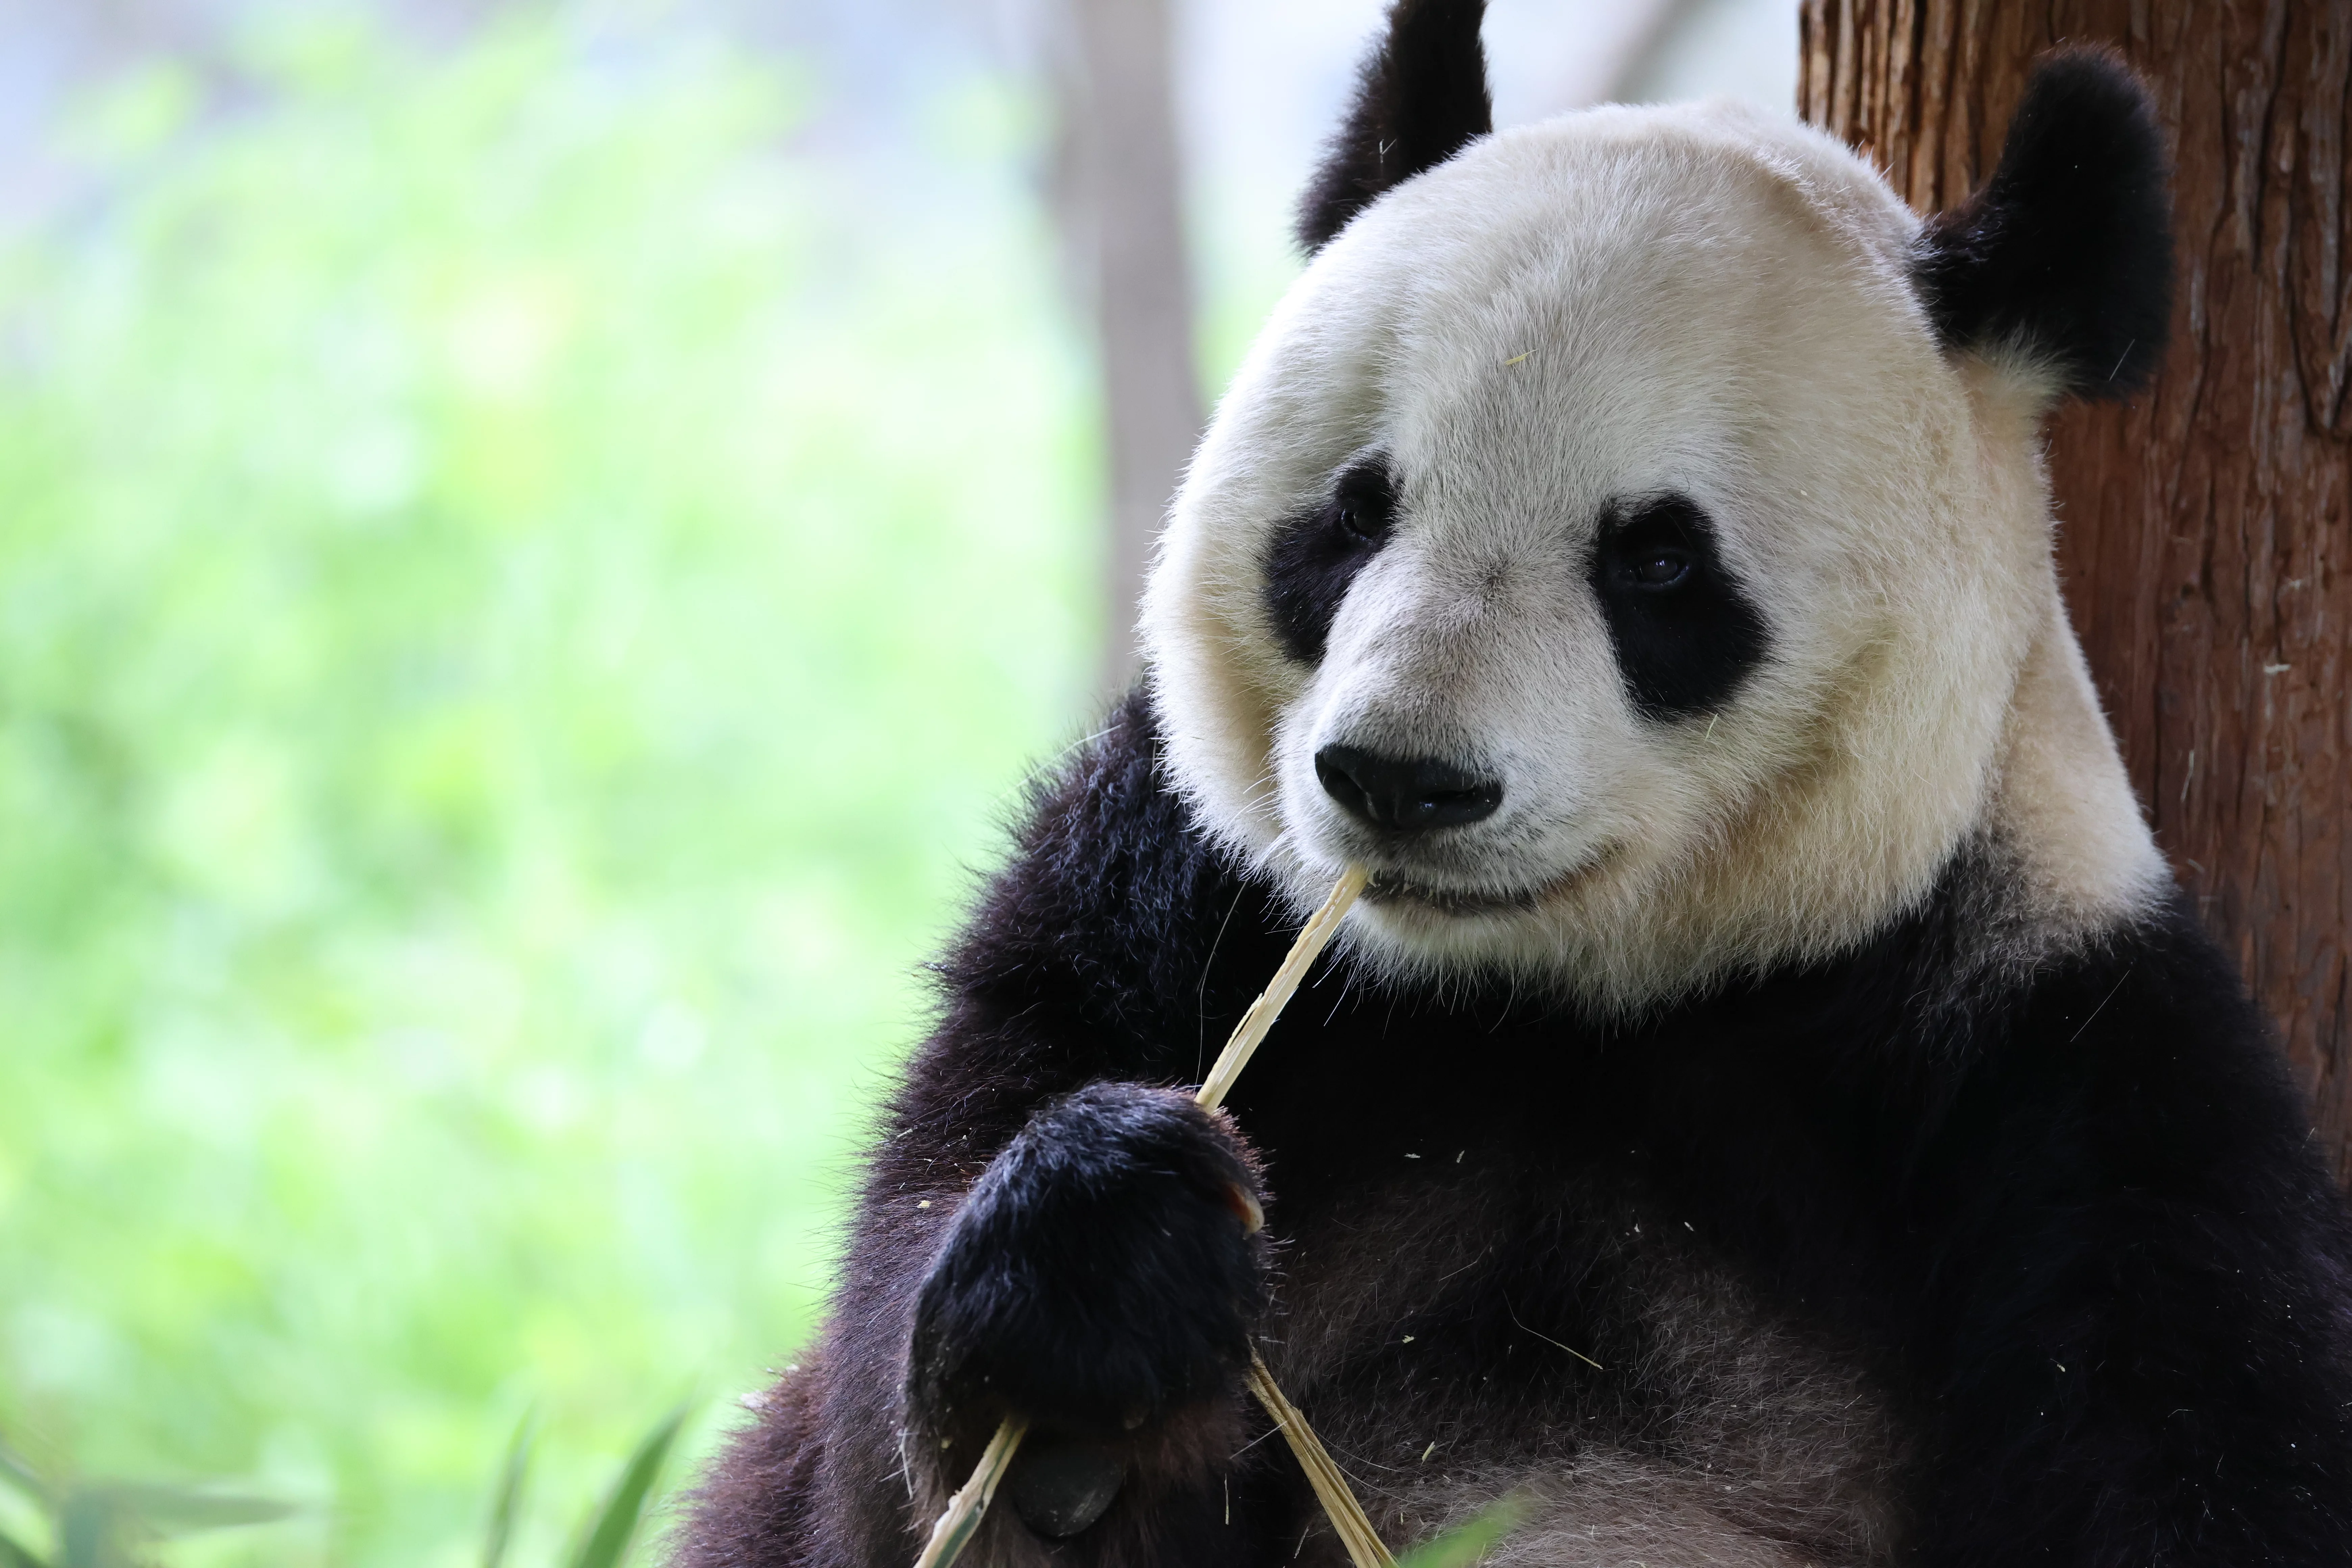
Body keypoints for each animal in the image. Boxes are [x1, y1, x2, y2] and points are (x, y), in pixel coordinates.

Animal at [676, 4, 2352, 1565]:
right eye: (1355, 513)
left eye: (1659, 561)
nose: (1399, 780)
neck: (1549, 1002)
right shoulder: (1162, 901)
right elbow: (870, 1410)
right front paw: (1090, 1323)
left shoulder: (2054, 1060)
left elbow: (2203, 1439)